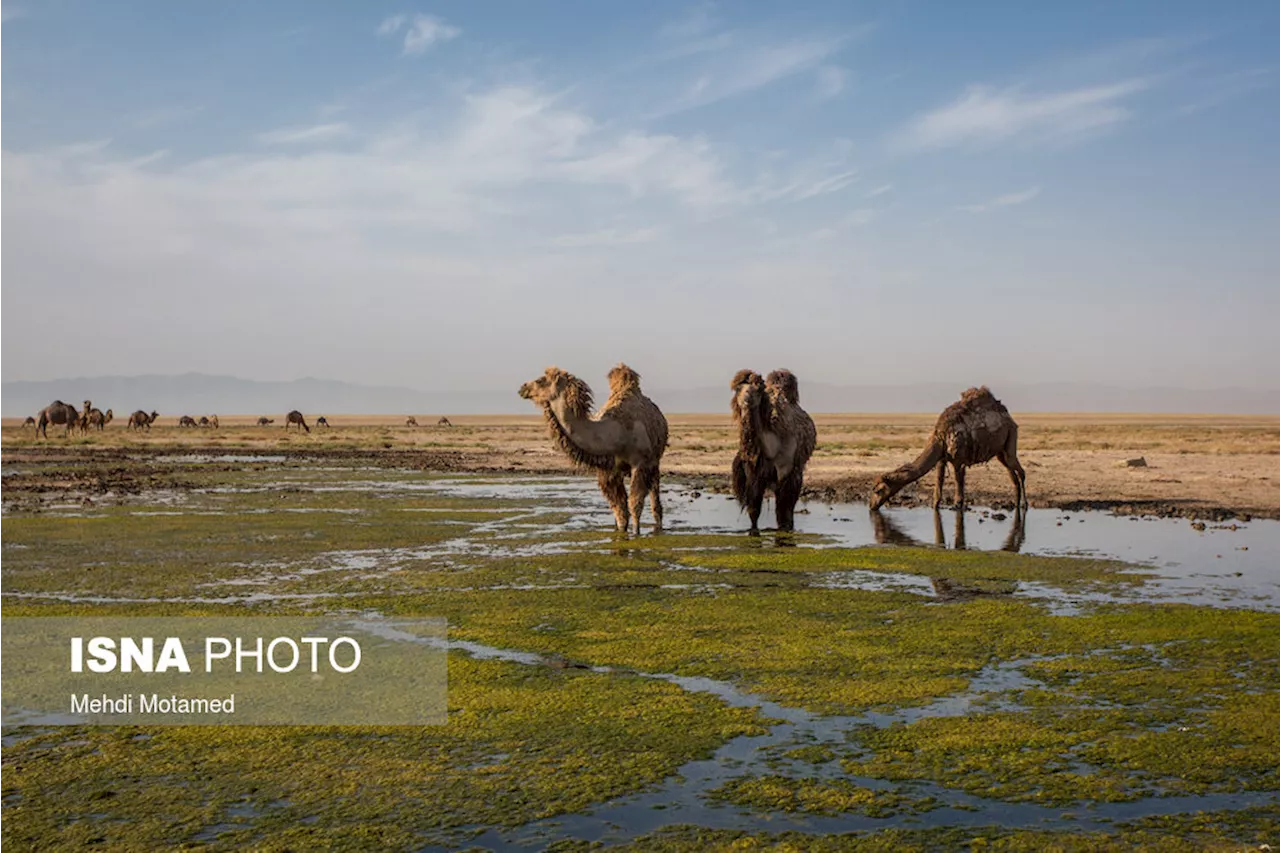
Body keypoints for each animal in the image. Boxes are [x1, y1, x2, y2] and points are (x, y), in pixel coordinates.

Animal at [517, 361, 670, 532]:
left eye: (540, 380)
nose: (522, 388)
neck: (617, 433)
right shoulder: (608, 469)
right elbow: (619, 509)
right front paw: (620, 532)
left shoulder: (640, 464)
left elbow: (635, 505)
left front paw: (635, 533)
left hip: (654, 461)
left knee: (655, 498)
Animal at [732, 366, 819, 532]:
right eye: (739, 388)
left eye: (757, 388)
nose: (745, 398)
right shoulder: (754, 473)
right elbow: (754, 510)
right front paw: (753, 531)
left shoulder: (785, 471)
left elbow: (783, 510)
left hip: (797, 469)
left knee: (788, 507)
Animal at [865, 386, 1024, 512]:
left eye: (878, 490)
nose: (871, 506)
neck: (940, 438)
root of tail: (1009, 418)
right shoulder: (941, 459)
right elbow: (938, 489)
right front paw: (936, 506)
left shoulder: (958, 460)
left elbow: (959, 494)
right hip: (1000, 452)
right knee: (1012, 474)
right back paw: (1016, 504)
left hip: (1011, 435)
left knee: (1020, 471)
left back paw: (1025, 505)